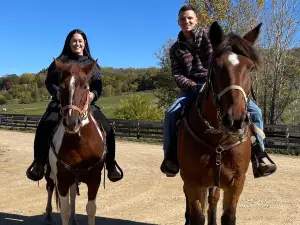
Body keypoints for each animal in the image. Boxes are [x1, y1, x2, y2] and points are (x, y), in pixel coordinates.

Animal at [43, 59, 106, 225]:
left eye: (85, 86)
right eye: (62, 87)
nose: (72, 122)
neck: (79, 143)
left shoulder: (94, 179)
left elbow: (91, 209)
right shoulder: (62, 179)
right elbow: (64, 211)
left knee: (72, 194)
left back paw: (73, 218)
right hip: (51, 175)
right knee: (49, 188)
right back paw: (48, 214)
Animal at [178, 21, 262, 225]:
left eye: (250, 68)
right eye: (215, 66)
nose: (235, 120)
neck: (218, 141)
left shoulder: (236, 183)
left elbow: (227, 216)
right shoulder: (192, 183)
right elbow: (197, 216)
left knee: (213, 200)